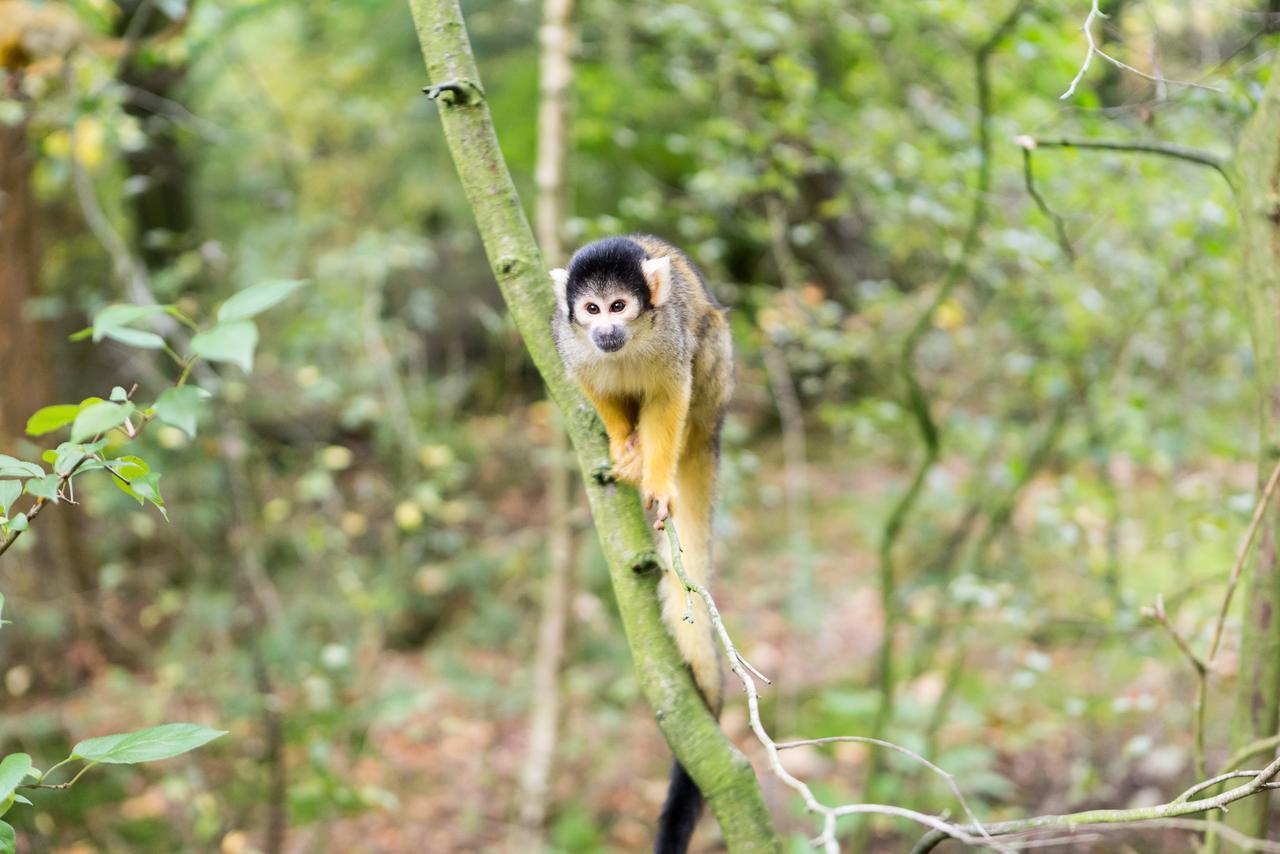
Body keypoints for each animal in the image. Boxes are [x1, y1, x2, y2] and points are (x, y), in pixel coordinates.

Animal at [547, 235, 732, 854]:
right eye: (591, 310)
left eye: (620, 307)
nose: (606, 330)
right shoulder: (567, 342)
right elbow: (590, 386)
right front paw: (621, 441)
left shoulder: (668, 338)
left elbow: (669, 396)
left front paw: (654, 476)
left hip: (717, 383)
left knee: (701, 359)